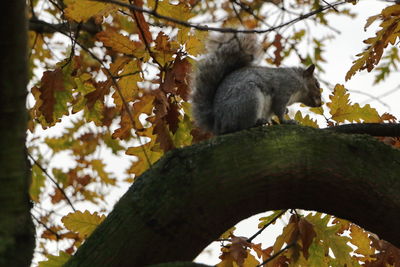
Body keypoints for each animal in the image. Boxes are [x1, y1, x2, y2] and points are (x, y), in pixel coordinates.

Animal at [190, 32, 322, 135]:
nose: (320, 103)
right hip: (249, 98)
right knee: (241, 126)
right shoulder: (284, 88)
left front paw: (287, 112)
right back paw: (257, 122)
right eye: (317, 84)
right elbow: (279, 108)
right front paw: (287, 121)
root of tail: (217, 124)